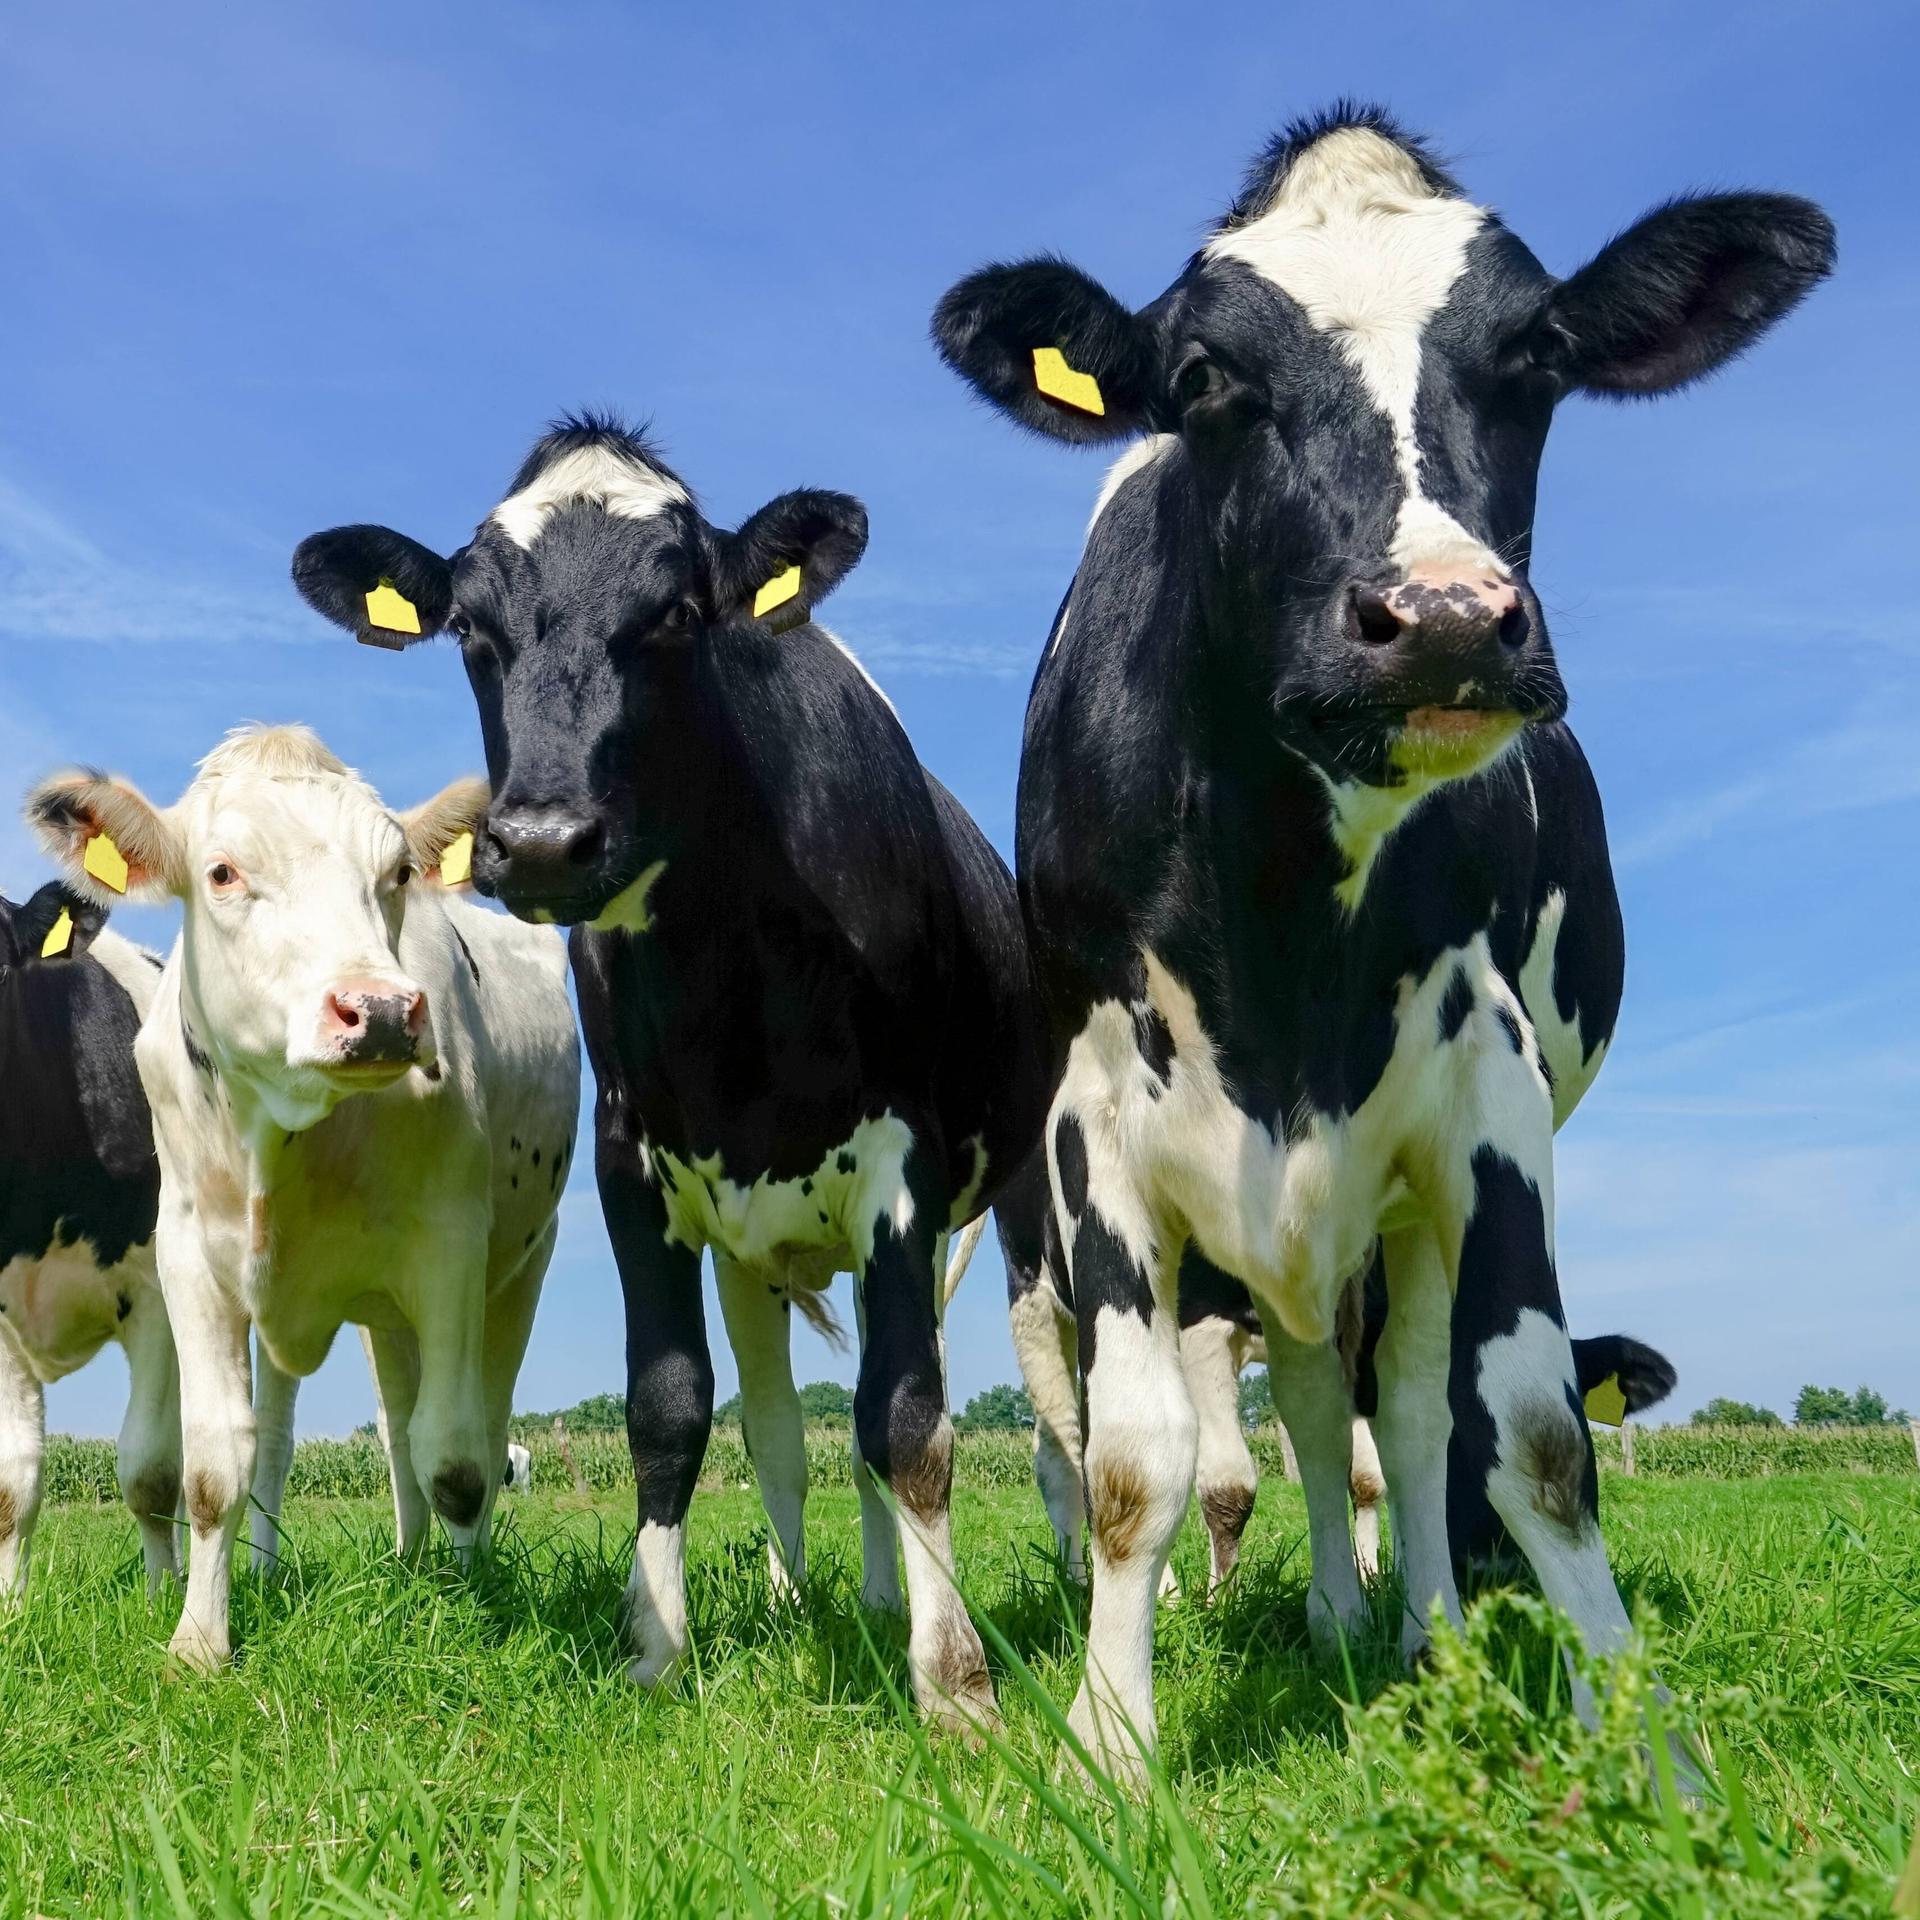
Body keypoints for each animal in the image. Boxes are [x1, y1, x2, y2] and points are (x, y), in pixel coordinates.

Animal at [27, 725, 580, 1669]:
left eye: (397, 872)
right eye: (221, 872)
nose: (383, 1011)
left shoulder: (451, 1249)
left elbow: (460, 1459)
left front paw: (473, 1613)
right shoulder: (188, 1260)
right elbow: (216, 1464)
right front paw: (199, 1643)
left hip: (519, 1268)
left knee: (469, 1420)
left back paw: (439, 1568)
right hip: (373, 1315)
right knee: (382, 1430)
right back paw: (394, 1560)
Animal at [289, 417, 1051, 1734]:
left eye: (681, 615)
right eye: (470, 627)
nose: (543, 841)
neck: (727, 983)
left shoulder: (902, 1168)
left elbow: (910, 1421)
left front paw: (955, 1685)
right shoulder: (632, 1161)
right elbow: (673, 1406)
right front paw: (655, 1645)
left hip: (1023, 1187)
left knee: (1039, 1398)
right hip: (760, 1238)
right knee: (791, 1425)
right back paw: (845, 1599)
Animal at [933, 103, 1831, 1779]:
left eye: (1540, 352)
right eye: (1205, 376)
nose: (1445, 617)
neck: (1285, 922)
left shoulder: (1486, 1084)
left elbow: (1530, 1436)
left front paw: (1640, 1738)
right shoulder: (1096, 1113)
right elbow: (1136, 1462)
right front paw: (1112, 1745)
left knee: (1391, 1408)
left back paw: (1406, 1633)